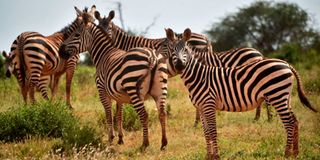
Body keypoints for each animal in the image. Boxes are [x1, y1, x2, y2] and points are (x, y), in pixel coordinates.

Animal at [60, 8, 170, 151]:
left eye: (77, 34)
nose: (60, 50)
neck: (103, 54)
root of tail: (152, 56)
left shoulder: (102, 91)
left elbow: (108, 114)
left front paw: (110, 139)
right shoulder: (119, 95)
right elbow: (119, 115)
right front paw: (120, 138)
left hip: (133, 88)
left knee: (144, 114)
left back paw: (145, 144)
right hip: (160, 89)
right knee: (162, 113)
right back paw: (163, 143)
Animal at [165, 27, 318, 159]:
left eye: (185, 49)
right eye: (172, 50)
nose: (179, 65)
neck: (198, 76)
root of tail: (286, 64)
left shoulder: (209, 105)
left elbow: (213, 132)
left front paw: (216, 156)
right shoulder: (201, 108)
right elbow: (206, 133)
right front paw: (208, 156)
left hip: (277, 95)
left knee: (289, 122)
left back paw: (286, 154)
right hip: (285, 97)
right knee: (295, 120)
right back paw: (296, 153)